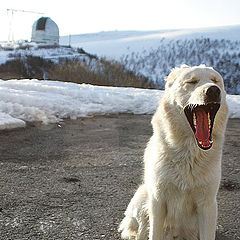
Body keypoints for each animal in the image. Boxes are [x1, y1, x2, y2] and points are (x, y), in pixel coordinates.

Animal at [119, 64, 229, 239]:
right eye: (192, 81)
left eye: (215, 80)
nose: (213, 90)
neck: (189, 153)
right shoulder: (157, 200)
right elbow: (154, 233)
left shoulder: (208, 205)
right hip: (143, 196)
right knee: (141, 231)